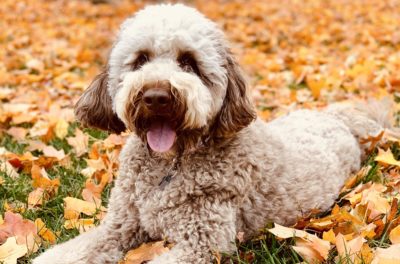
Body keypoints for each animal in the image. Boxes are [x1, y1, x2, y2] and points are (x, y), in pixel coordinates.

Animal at [34, 2, 390, 264]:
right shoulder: (118, 227)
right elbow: (73, 250)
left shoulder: (201, 242)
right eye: (140, 59)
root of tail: (337, 117)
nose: (156, 97)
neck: (168, 167)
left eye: (189, 62)